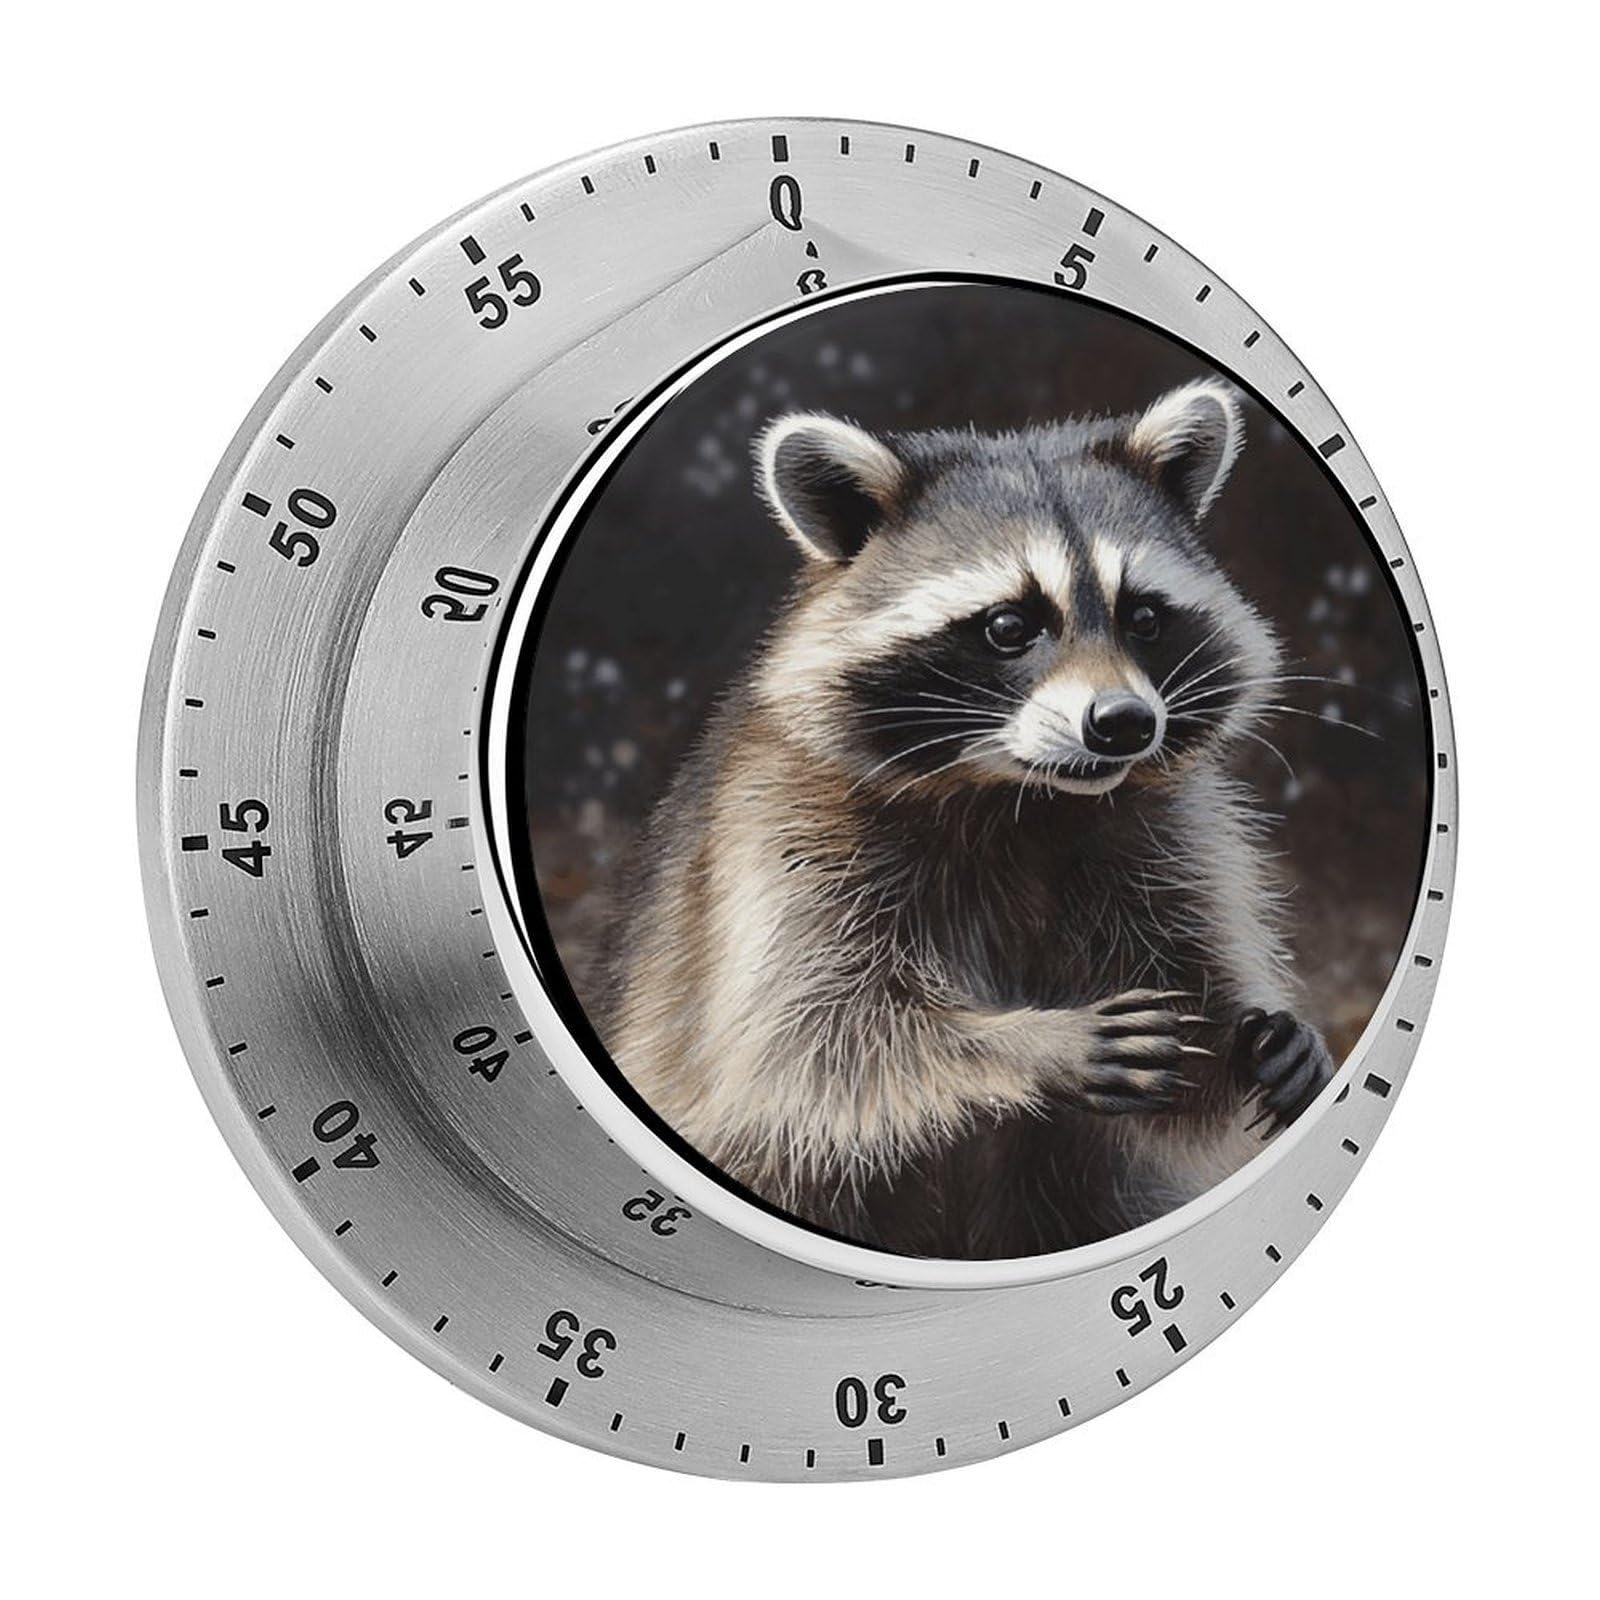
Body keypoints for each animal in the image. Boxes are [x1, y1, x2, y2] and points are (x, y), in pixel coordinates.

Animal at [601, 379, 1335, 1258]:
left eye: (1145, 619)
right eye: (1009, 626)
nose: (1124, 723)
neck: (1018, 798)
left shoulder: (1164, 837)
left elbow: (1192, 1040)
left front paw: (1262, 1041)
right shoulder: (782, 830)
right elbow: (807, 1044)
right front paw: (1030, 1042)